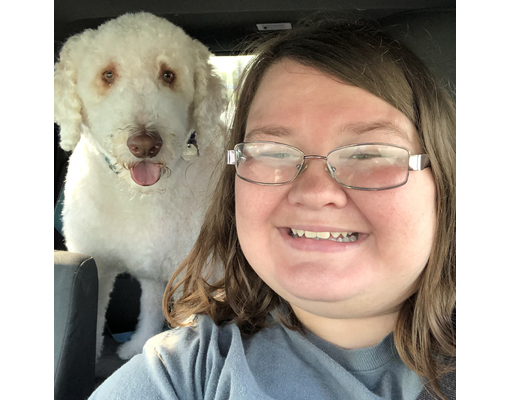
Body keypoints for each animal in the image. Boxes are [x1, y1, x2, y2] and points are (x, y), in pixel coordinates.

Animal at [54, 12, 226, 360]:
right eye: (107, 75)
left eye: (168, 75)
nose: (145, 144)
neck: (142, 197)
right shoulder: (96, 261)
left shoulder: (195, 272)